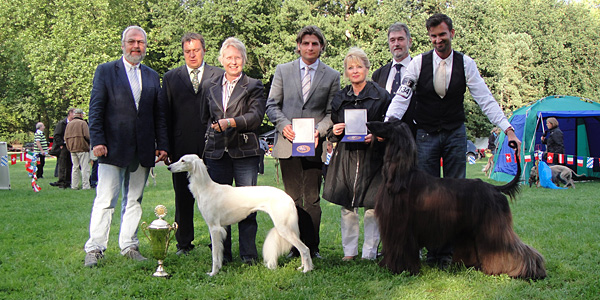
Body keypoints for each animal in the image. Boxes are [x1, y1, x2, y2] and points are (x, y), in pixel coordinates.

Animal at [166, 156, 312, 276]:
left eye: (183, 160)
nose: (168, 167)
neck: (206, 188)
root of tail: (288, 197)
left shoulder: (214, 228)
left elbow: (214, 254)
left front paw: (213, 273)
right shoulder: (221, 228)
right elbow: (219, 251)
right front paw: (219, 268)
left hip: (283, 227)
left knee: (305, 248)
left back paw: (307, 270)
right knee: (301, 249)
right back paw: (302, 267)